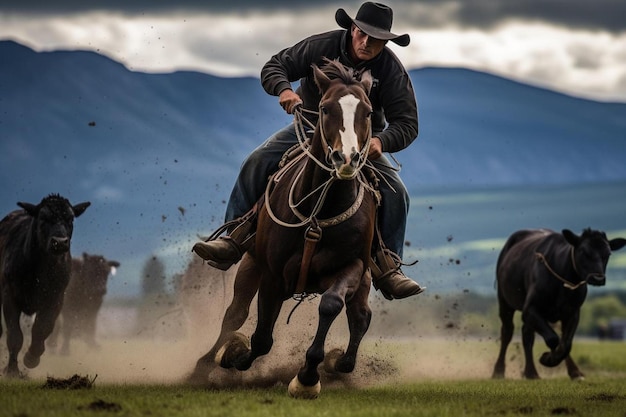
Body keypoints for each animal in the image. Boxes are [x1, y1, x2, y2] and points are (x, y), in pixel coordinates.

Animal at [0, 193, 89, 376]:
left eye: (70, 218)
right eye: (43, 218)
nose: (60, 242)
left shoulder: (56, 298)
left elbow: (43, 328)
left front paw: (31, 357)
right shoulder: (9, 295)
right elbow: (14, 335)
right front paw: (12, 370)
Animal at [189, 60, 376, 398]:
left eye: (367, 112)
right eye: (325, 108)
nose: (346, 158)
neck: (320, 210)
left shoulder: (353, 267)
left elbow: (331, 304)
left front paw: (308, 376)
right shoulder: (272, 274)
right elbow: (261, 338)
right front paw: (234, 355)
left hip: (365, 279)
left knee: (360, 317)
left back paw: (339, 363)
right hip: (250, 262)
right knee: (235, 314)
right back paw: (203, 366)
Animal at [490, 229, 620, 378]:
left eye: (608, 253)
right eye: (583, 251)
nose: (598, 278)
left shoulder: (573, 313)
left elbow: (565, 344)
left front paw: (569, 369)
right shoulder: (529, 309)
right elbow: (553, 339)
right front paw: (548, 358)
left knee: (527, 334)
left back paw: (532, 373)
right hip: (504, 301)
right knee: (507, 332)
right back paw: (499, 371)